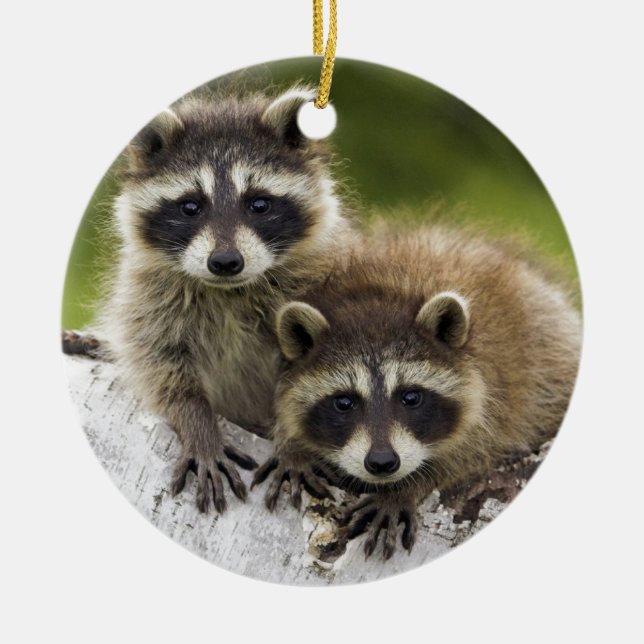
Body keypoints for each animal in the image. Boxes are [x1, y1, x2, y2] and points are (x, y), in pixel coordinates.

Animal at [100, 86, 351, 513]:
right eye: (190, 206)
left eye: (259, 204)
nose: (225, 262)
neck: (228, 291)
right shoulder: (148, 296)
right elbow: (160, 365)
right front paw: (197, 423)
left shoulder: (320, 283)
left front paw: (294, 446)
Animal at [254, 224, 581, 558]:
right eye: (343, 402)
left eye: (410, 397)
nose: (382, 463)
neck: (382, 291)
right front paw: (292, 446)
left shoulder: (501, 392)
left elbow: (474, 450)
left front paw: (405, 488)